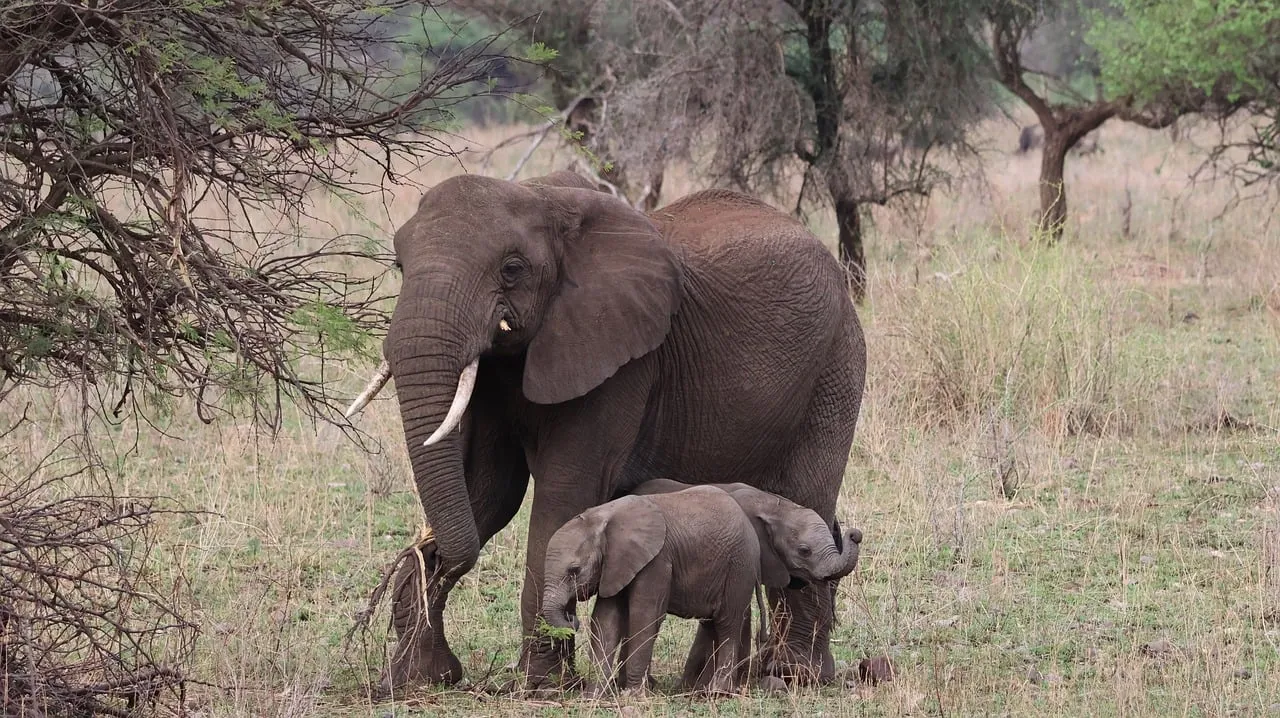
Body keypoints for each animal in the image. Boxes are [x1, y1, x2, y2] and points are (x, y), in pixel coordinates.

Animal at [540, 487, 761, 696]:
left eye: (574, 570)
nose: (572, 618)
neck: (602, 516)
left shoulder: (657, 561)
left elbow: (644, 617)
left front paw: (632, 694)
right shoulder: (615, 564)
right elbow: (606, 621)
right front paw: (592, 696)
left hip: (740, 567)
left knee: (728, 623)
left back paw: (717, 691)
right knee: (710, 624)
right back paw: (699, 690)